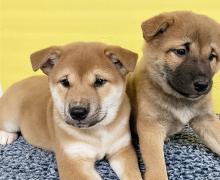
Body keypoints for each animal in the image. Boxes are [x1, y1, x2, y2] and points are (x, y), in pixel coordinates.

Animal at [0, 41, 143, 180]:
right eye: (65, 82)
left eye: (100, 81)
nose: (77, 112)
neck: (98, 132)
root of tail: (18, 83)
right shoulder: (73, 161)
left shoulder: (122, 150)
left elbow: (133, 175)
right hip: (10, 119)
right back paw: (6, 136)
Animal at [128, 11, 220, 180]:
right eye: (181, 51)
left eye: (212, 56)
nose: (202, 85)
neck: (179, 98)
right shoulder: (151, 126)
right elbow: (157, 166)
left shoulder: (205, 119)